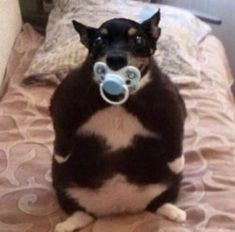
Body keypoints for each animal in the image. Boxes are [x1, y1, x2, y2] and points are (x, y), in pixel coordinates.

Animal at [50, 10, 186, 232]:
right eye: (99, 40)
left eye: (138, 39)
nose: (115, 58)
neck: (118, 98)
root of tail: (119, 206)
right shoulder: (65, 96)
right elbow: (62, 125)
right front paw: (61, 154)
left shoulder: (170, 100)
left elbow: (175, 129)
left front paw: (177, 161)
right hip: (60, 183)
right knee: (80, 212)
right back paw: (68, 224)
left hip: (172, 182)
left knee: (160, 202)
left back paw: (174, 212)